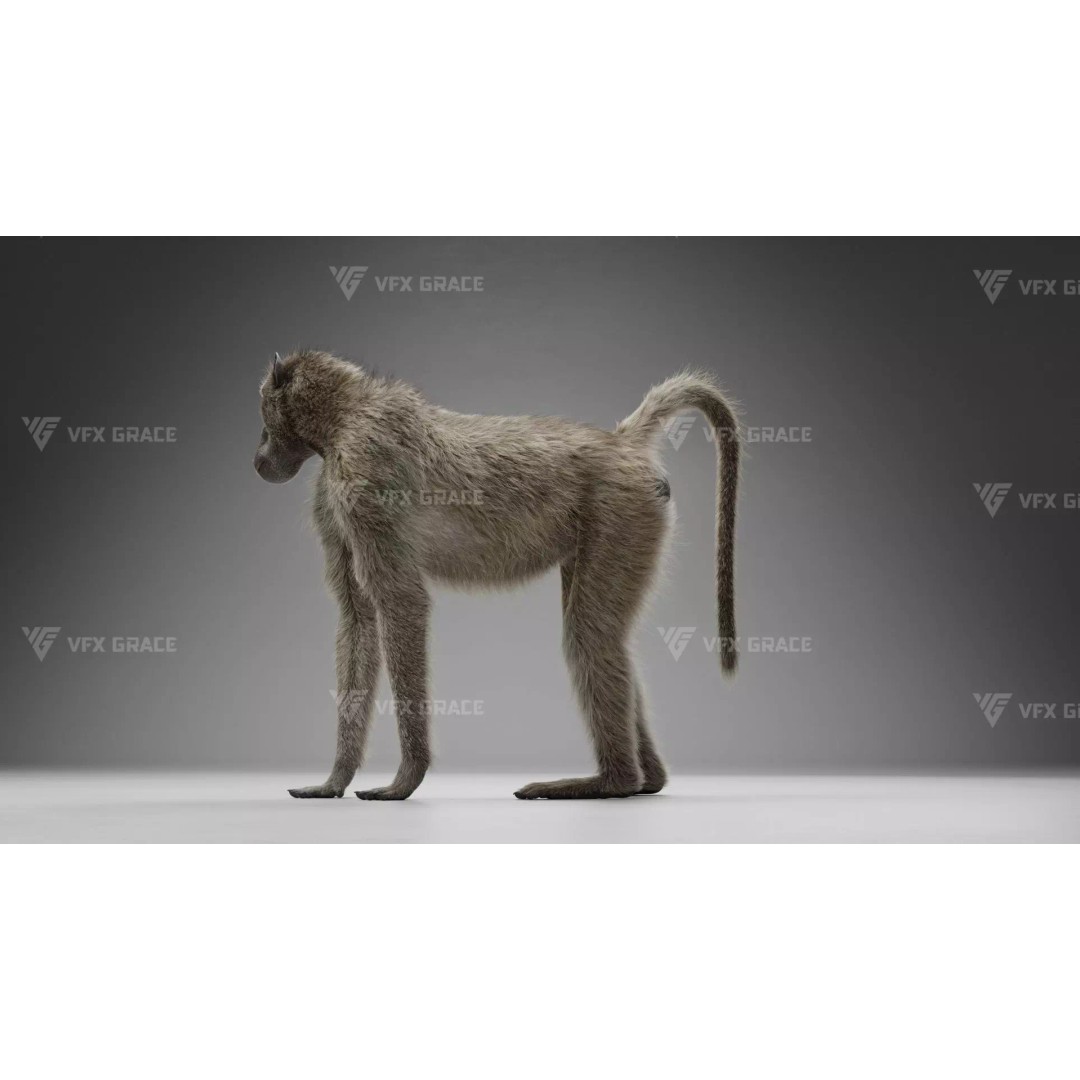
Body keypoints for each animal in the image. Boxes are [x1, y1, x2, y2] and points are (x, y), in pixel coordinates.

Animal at [254, 350, 739, 800]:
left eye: (264, 416)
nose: (258, 459)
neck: (347, 413)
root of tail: (622, 443)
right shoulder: (335, 502)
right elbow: (358, 618)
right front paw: (334, 781)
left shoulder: (364, 475)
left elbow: (402, 602)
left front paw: (405, 781)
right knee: (601, 634)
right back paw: (647, 781)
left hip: (623, 511)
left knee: (590, 635)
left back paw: (610, 783)